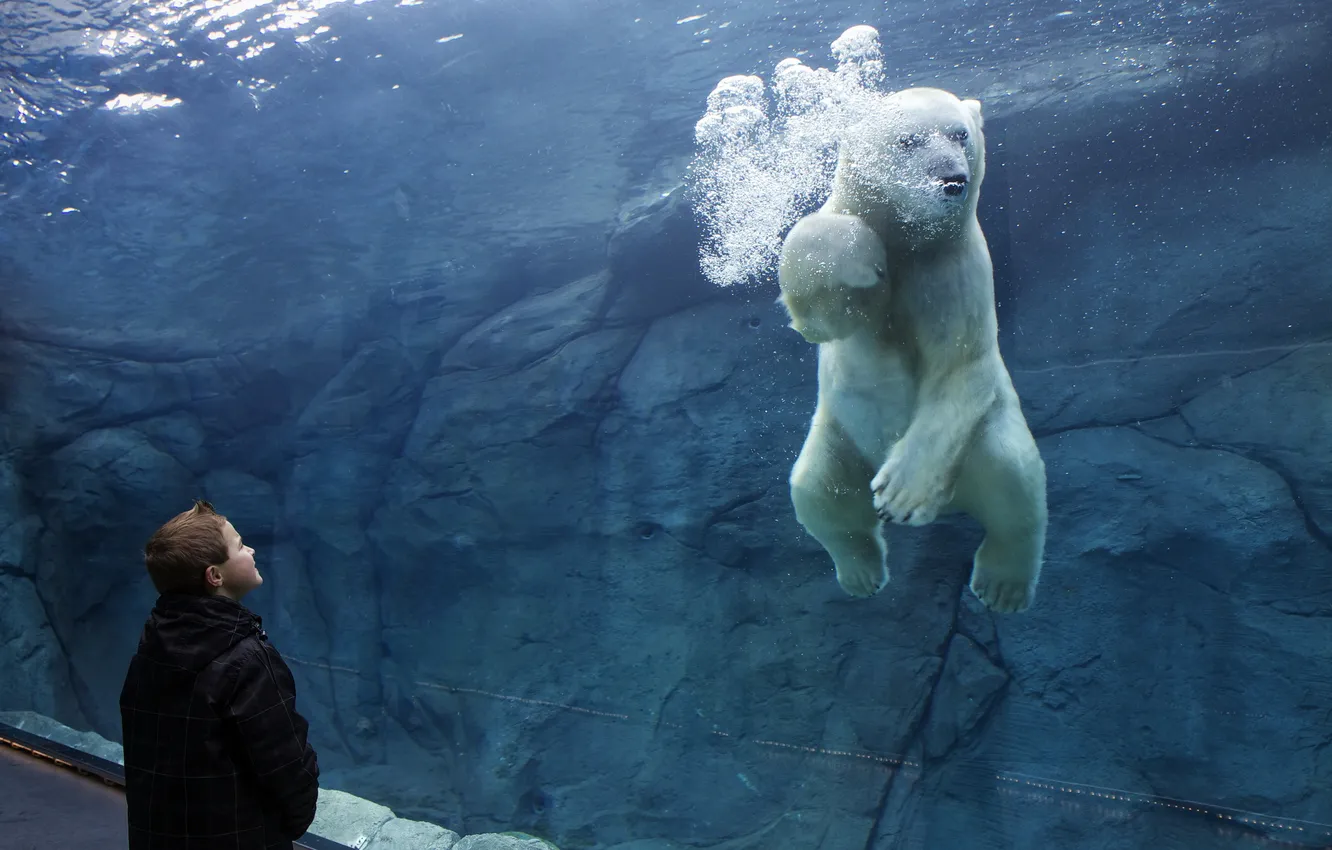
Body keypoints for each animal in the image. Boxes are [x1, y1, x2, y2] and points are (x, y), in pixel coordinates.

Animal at [778, 86, 1047, 613]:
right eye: (907, 140)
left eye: (960, 134)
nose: (952, 180)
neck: (910, 241)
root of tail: (952, 500)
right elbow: (823, 316)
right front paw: (861, 256)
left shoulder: (954, 268)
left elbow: (960, 365)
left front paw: (899, 495)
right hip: (839, 442)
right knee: (818, 492)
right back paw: (861, 572)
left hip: (984, 435)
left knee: (1014, 482)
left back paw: (1001, 585)